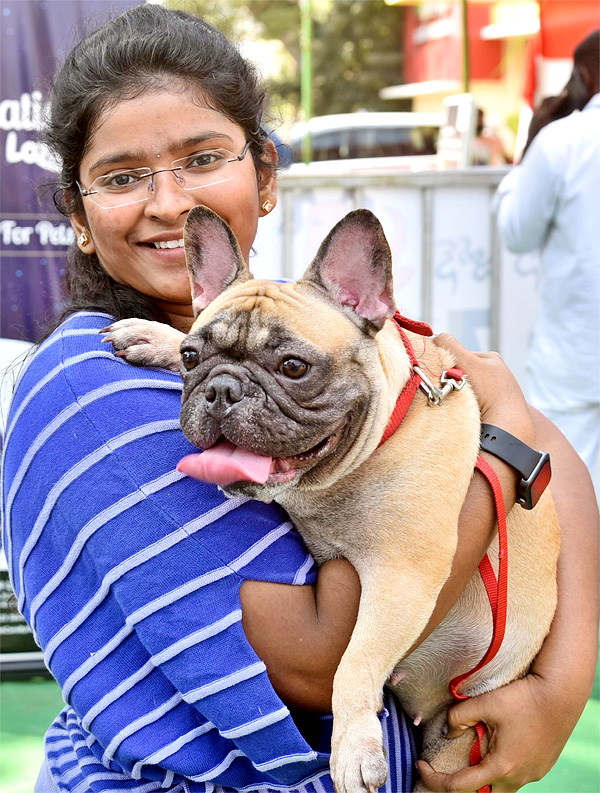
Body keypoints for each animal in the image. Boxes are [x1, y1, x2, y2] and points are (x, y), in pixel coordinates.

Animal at [104, 206, 564, 792]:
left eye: (294, 367)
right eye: (191, 356)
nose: (222, 390)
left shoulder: (402, 576)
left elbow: (354, 662)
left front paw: (354, 749)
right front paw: (154, 334)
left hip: (455, 748)